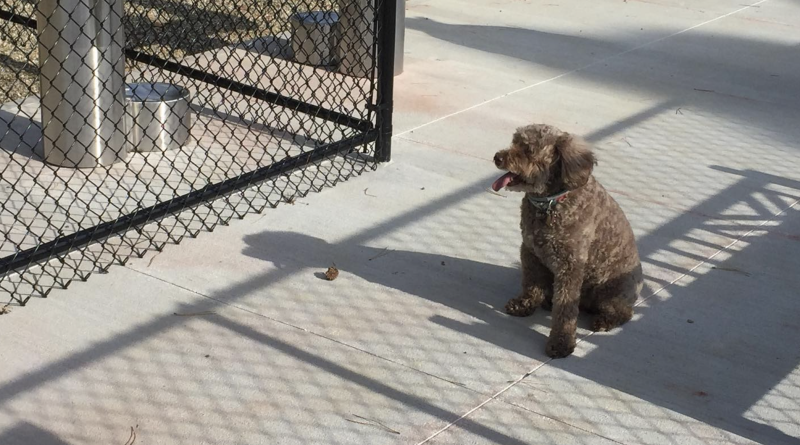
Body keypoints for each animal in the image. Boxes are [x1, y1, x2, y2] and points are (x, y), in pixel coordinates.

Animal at [492, 124, 642, 358]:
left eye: (528, 149)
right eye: (514, 142)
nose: (497, 157)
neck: (549, 203)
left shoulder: (570, 265)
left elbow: (565, 309)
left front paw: (561, 343)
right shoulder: (530, 251)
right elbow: (531, 283)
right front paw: (525, 304)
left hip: (612, 291)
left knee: (624, 312)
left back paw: (605, 320)